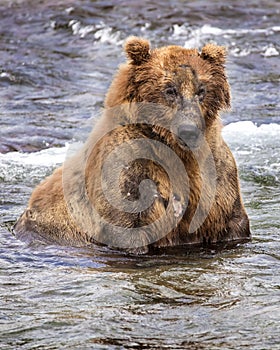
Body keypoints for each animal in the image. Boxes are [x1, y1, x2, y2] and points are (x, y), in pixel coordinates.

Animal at [13, 37, 250, 253]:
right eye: (169, 90)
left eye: (201, 90)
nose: (189, 130)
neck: (176, 151)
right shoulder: (129, 170)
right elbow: (129, 227)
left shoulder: (217, 176)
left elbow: (232, 221)